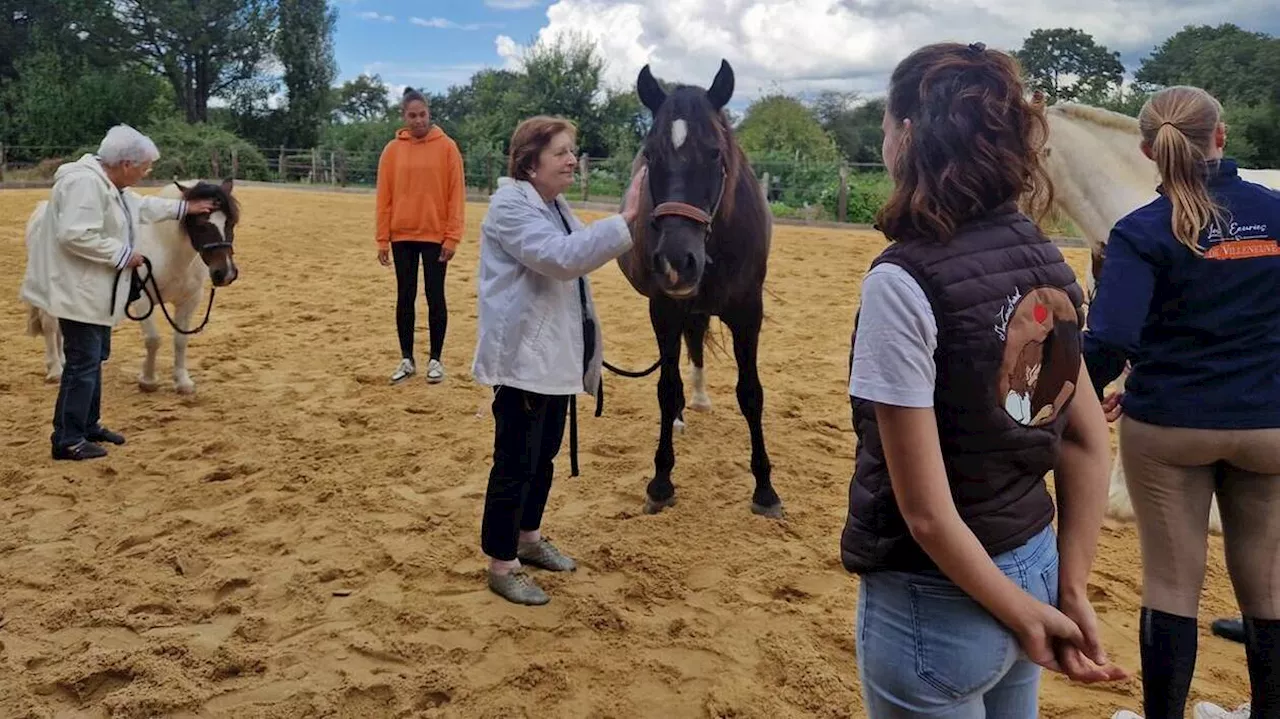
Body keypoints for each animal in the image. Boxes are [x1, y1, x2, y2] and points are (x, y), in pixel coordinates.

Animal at [609, 58, 778, 514]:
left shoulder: (748, 314)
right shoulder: (665, 309)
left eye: (715, 152)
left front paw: (765, 488)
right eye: (650, 154)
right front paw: (661, 482)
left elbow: (751, 393)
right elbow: (667, 389)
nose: (675, 262)